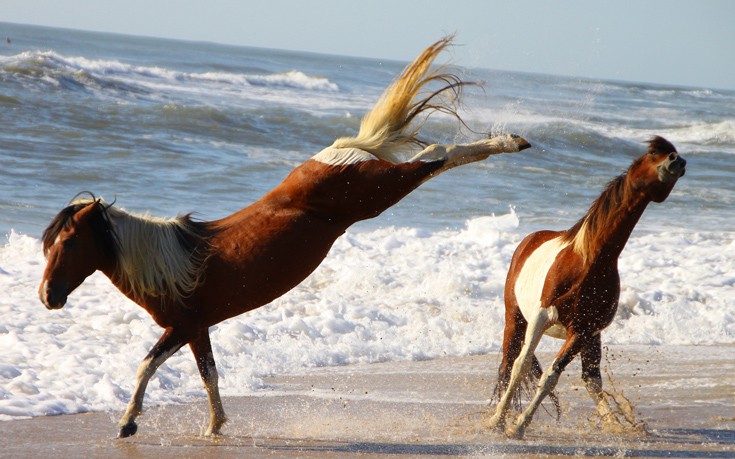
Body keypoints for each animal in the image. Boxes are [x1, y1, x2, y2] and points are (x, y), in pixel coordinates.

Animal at [38, 37, 528, 440]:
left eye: (68, 243)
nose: (48, 296)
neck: (171, 263)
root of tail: (332, 156)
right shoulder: (198, 329)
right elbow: (206, 374)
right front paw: (213, 424)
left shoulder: (185, 325)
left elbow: (149, 366)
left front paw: (129, 422)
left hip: (379, 193)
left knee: (435, 156)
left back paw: (509, 142)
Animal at [486, 137, 688, 438]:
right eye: (654, 152)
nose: (678, 161)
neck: (590, 262)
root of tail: (530, 239)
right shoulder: (542, 317)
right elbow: (521, 367)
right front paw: (506, 423)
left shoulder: (583, 330)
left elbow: (553, 377)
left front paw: (520, 424)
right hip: (516, 318)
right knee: (509, 363)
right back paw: (498, 418)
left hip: (590, 338)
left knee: (590, 378)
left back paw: (613, 423)